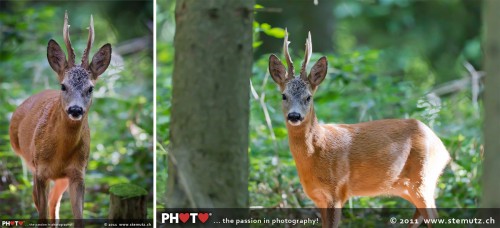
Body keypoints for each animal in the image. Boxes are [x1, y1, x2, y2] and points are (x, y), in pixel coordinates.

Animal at [8, 11, 111, 220]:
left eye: (91, 88)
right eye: (63, 86)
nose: (75, 110)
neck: (60, 155)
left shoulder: (78, 173)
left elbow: (78, 218)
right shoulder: (40, 171)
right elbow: (41, 217)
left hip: (61, 179)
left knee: (53, 205)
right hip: (28, 162)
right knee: (43, 204)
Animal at [268, 30, 452, 228]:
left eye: (308, 97)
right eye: (283, 95)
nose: (294, 116)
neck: (317, 150)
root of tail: (443, 149)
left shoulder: (337, 191)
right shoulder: (318, 197)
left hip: (423, 178)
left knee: (434, 216)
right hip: (409, 186)